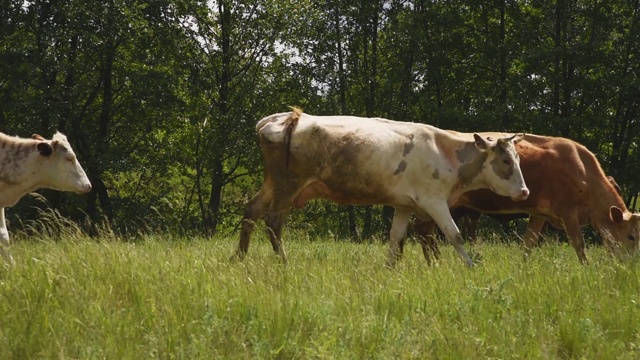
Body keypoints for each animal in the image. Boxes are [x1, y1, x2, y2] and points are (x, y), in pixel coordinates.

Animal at [232, 107, 528, 268]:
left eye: (518, 158)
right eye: (505, 160)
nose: (525, 192)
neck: (444, 151)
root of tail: (285, 118)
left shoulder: (404, 205)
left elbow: (395, 238)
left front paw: (389, 269)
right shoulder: (434, 201)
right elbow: (454, 235)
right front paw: (469, 265)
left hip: (273, 182)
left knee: (252, 210)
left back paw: (240, 257)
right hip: (288, 184)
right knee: (273, 220)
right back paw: (284, 262)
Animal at [410, 132, 640, 264]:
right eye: (631, 236)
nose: (633, 265)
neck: (583, 170)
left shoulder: (540, 214)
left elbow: (528, 244)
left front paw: (522, 268)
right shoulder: (568, 212)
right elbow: (579, 244)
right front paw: (586, 268)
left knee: (425, 232)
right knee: (424, 231)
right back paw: (436, 263)